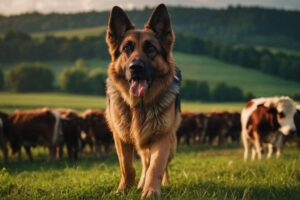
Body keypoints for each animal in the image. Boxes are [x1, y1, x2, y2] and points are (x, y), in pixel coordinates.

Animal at [104, 3, 182, 198]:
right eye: (127, 48)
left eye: (150, 48)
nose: (135, 67)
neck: (138, 106)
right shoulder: (120, 138)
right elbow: (127, 167)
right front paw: (124, 189)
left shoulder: (162, 137)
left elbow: (156, 167)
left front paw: (152, 191)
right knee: (145, 163)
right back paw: (140, 184)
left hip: (171, 144)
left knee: (158, 165)